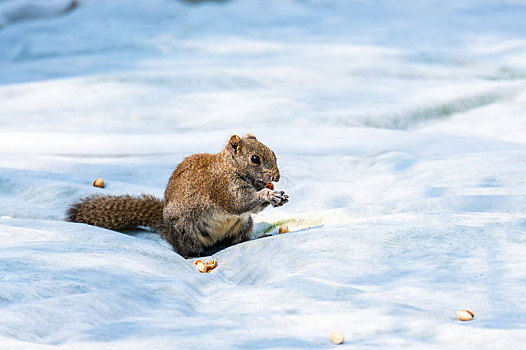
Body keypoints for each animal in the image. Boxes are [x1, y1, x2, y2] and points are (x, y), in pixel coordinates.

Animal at [66, 133, 290, 258]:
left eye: (274, 154)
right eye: (255, 159)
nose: (276, 177)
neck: (229, 167)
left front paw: (278, 195)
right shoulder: (221, 187)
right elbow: (240, 203)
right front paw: (269, 194)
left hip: (243, 225)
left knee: (236, 242)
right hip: (185, 230)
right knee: (187, 250)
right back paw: (196, 255)